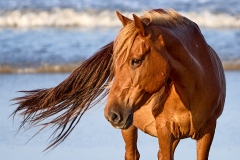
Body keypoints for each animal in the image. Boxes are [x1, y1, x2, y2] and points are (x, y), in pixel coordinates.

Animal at [12, 8, 225, 160]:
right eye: (114, 63)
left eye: (136, 61)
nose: (112, 114)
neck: (192, 91)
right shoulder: (165, 131)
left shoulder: (207, 131)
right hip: (129, 127)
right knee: (132, 154)